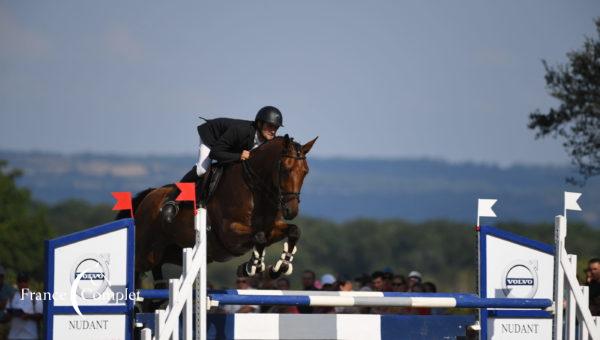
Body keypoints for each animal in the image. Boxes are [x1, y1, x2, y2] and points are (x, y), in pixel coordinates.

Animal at [115, 134, 316, 288]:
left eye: (305, 172)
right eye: (286, 169)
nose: (291, 210)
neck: (255, 188)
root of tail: (148, 197)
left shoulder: (271, 228)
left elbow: (293, 231)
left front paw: (279, 267)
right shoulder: (230, 233)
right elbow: (259, 237)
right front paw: (252, 266)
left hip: (171, 253)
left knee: (156, 270)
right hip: (145, 253)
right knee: (134, 269)